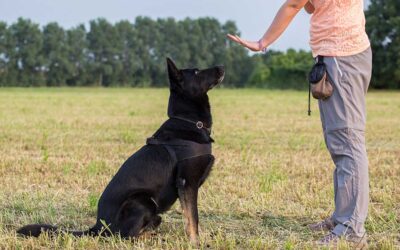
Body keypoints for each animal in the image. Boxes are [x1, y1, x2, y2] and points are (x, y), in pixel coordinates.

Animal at [17, 58, 225, 244]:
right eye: (196, 72)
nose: (222, 67)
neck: (189, 121)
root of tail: (97, 227)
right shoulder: (187, 183)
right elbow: (193, 218)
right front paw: (196, 243)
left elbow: (192, 218)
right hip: (143, 201)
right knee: (125, 236)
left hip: (154, 212)